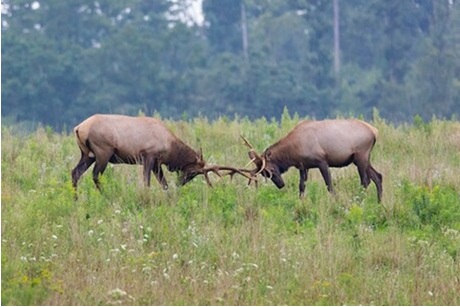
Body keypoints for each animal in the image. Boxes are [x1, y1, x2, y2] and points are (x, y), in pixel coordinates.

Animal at [71, 114, 252, 196]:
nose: (180, 184)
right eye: (193, 171)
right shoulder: (148, 155)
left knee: (75, 172)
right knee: (96, 176)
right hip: (103, 152)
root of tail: (79, 128)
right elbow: (147, 182)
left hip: (87, 154)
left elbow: (163, 183)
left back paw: (75, 198)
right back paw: (106, 196)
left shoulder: (157, 163)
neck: (170, 149)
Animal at [239, 119, 382, 202]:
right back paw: (379, 202)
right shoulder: (303, 166)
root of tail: (375, 132)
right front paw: (301, 202)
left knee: (365, 180)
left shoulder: (322, 161)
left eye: (271, 169)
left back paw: (358, 201)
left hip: (361, 155)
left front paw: (336, 201)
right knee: (378, 176)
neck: (293, 151)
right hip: (362, 158)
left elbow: (329, 185)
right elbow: (301, 186)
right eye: (264, 174)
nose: (281, 185)